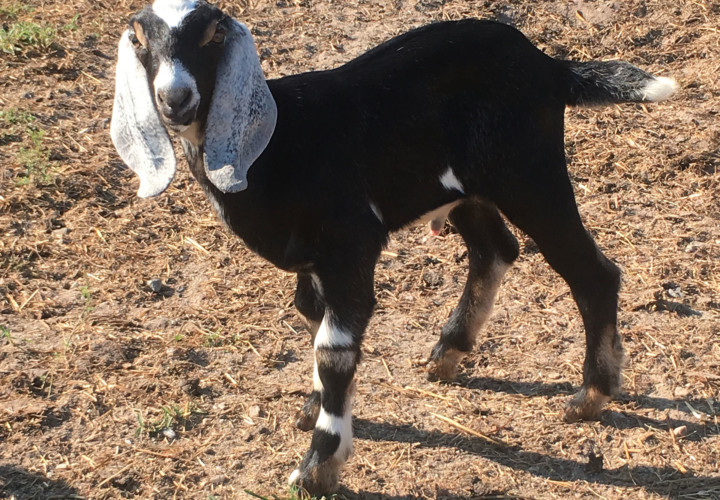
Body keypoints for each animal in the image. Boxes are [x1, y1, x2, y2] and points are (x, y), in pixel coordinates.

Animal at [110, 0, 677, 494]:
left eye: (213, 35)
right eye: (139, 39)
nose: (175, 98)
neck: (279, 141)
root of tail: (549, 65)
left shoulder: (350, 245)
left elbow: (333, 348)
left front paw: (317, 468)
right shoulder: (315, 261)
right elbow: (310, 314)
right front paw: (314, 408)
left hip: (529, 173)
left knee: (591, 271)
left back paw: (590, 396)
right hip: (467, 188)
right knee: (496, 249)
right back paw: (448, 353)